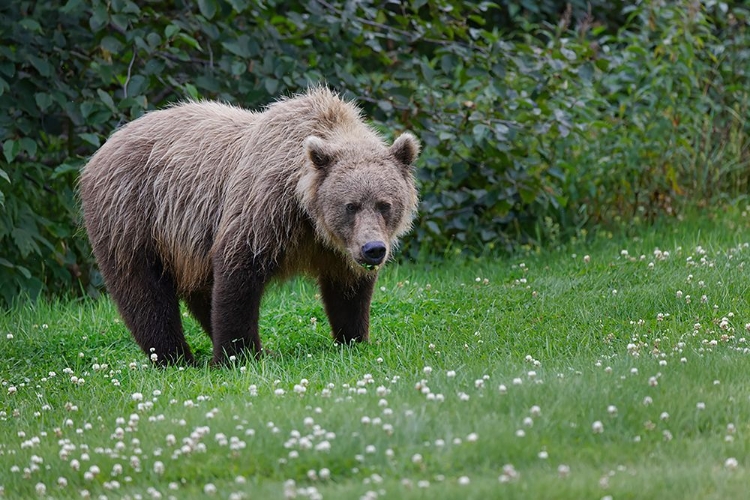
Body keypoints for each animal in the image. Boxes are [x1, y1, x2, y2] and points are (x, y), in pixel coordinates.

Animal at [81, 88, 424, 366]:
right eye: (350, 205)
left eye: (384, 204)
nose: (373, 249)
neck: (309, 216)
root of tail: (102, 148)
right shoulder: (265, 207)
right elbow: (239, 276)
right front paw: (237, 355)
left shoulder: (336, 249)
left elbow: (348, 290)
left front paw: (355, 338)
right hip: (133, 214)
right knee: (144, 292)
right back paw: (174, 357)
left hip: (188, 237)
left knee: (199, 291)